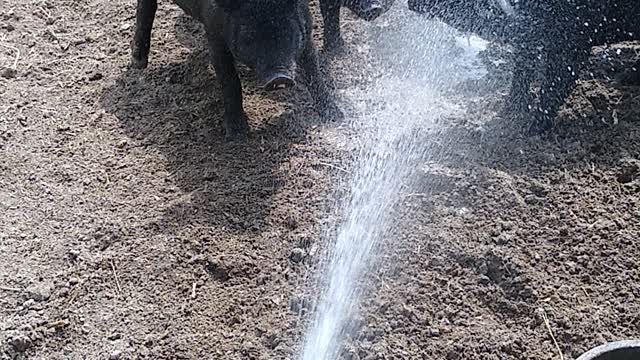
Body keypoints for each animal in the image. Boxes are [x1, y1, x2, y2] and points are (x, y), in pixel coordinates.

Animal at [129, 0, 344, 142]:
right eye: (249, 37)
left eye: (289, 31)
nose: (279, 77)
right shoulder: (215, 37)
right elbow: (230, 81)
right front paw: (237, 135)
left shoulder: (307, 32)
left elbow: (314, 72)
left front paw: (337, 116)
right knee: (145, 8)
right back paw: (138, 63)